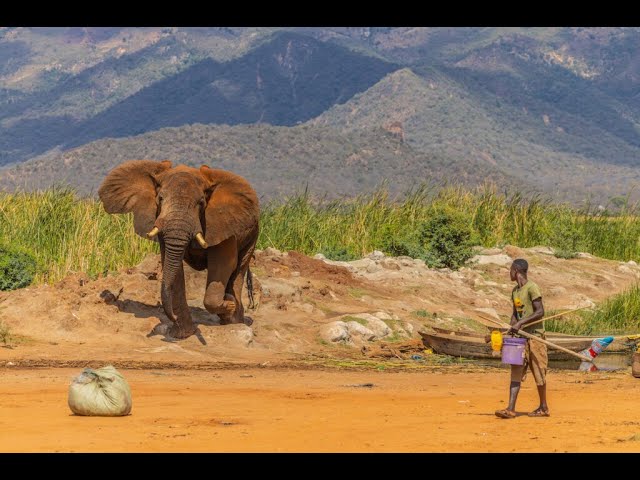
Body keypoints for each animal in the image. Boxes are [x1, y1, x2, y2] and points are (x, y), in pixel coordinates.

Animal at [98, 160, 260, 339]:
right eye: (160, 198)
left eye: (201, 203)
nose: (172, 317)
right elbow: (173, 267)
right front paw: (182, 334)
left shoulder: (221, 223)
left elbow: (223, 264)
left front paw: (229, 303)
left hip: (253, 233)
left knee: (239, 268)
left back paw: (233, 319)